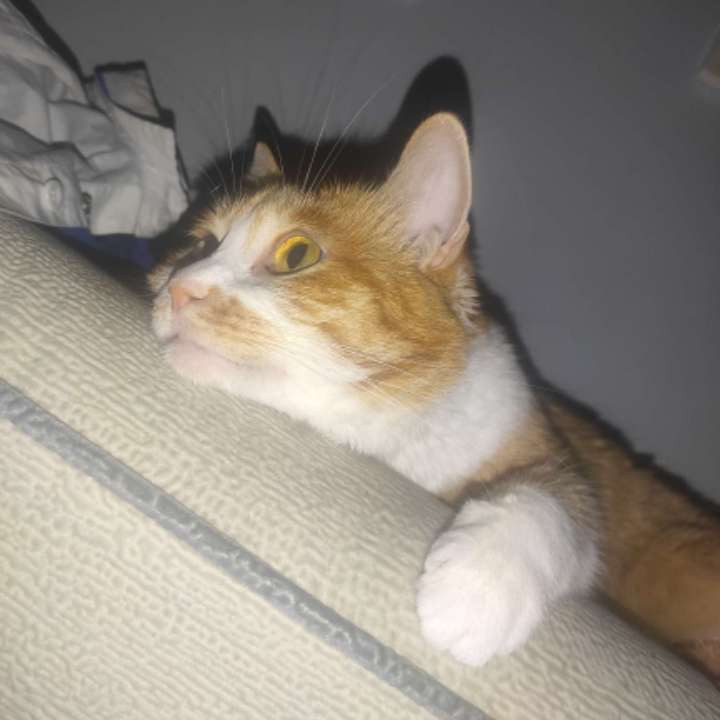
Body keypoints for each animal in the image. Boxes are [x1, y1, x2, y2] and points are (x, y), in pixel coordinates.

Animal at [150, 112, 720, 677]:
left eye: (297, 254)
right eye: (199, 245)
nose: (180, 288)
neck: (395, 441)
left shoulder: (561, 464)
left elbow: (548, 501)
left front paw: (480, 587)